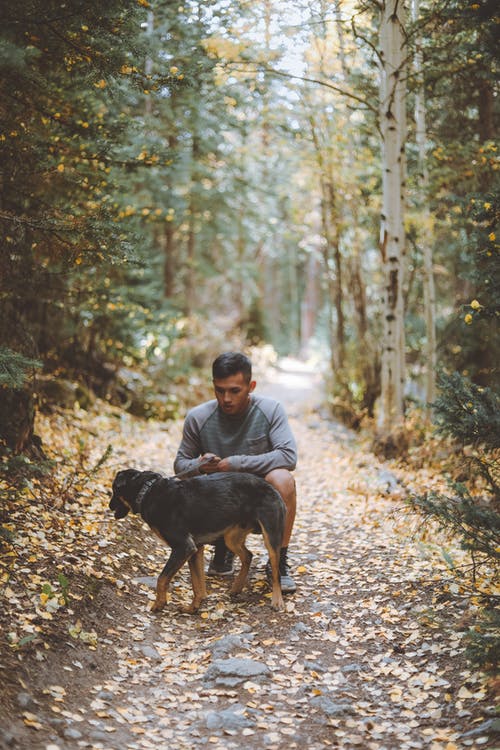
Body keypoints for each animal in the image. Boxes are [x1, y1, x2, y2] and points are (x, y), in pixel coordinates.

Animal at [111, 472, 288, 612]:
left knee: (276, 572)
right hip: (231, 539)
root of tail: (272, 488)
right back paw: (236, 588)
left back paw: (277, 600)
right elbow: (197, 585)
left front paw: (159, 604)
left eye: (114, 491)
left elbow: (162, 579)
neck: (146, 491)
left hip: (270, 537)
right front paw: (193, 608)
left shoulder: (183, 547)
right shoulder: (195, 549)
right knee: (248, 555)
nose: (109, 506)